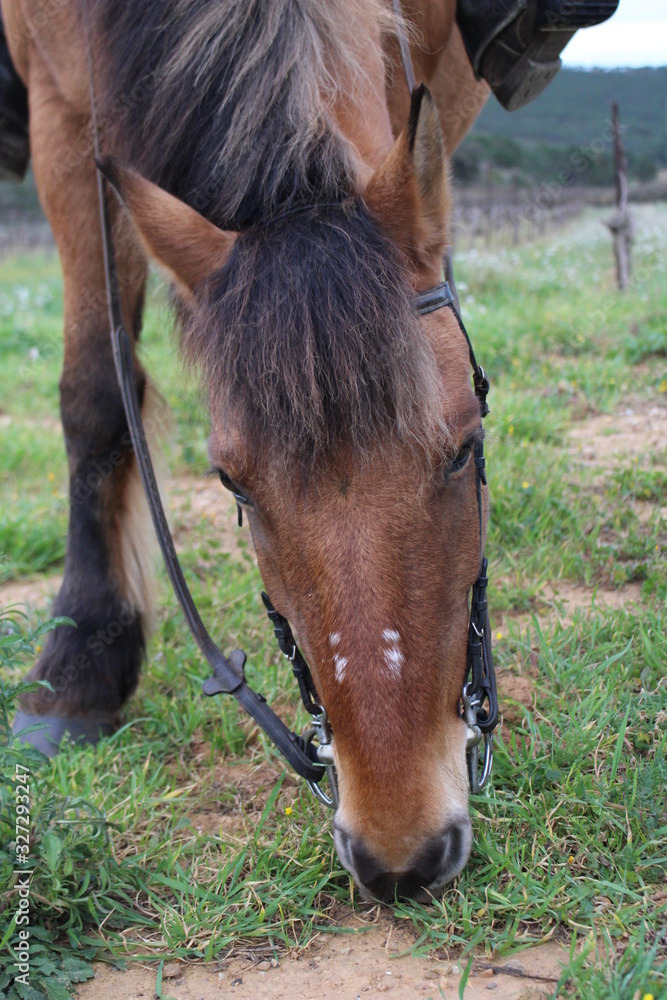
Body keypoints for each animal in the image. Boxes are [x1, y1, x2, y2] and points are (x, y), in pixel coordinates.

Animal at [3, 0, 491, 902]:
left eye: (462, 448)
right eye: (232, 482)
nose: (400, 851)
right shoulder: (60, 111)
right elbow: (93, 391)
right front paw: (79, 666)